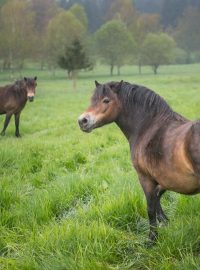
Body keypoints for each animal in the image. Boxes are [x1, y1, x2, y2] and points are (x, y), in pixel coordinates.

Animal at [78, 80, 200, 243]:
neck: (147, 127)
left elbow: (150, 207)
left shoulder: (145, 177)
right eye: (92, 99)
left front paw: (152, 239)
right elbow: (157, 197)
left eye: (106, 100)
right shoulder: (165, 178)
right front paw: (164, 222)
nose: (82, 121)